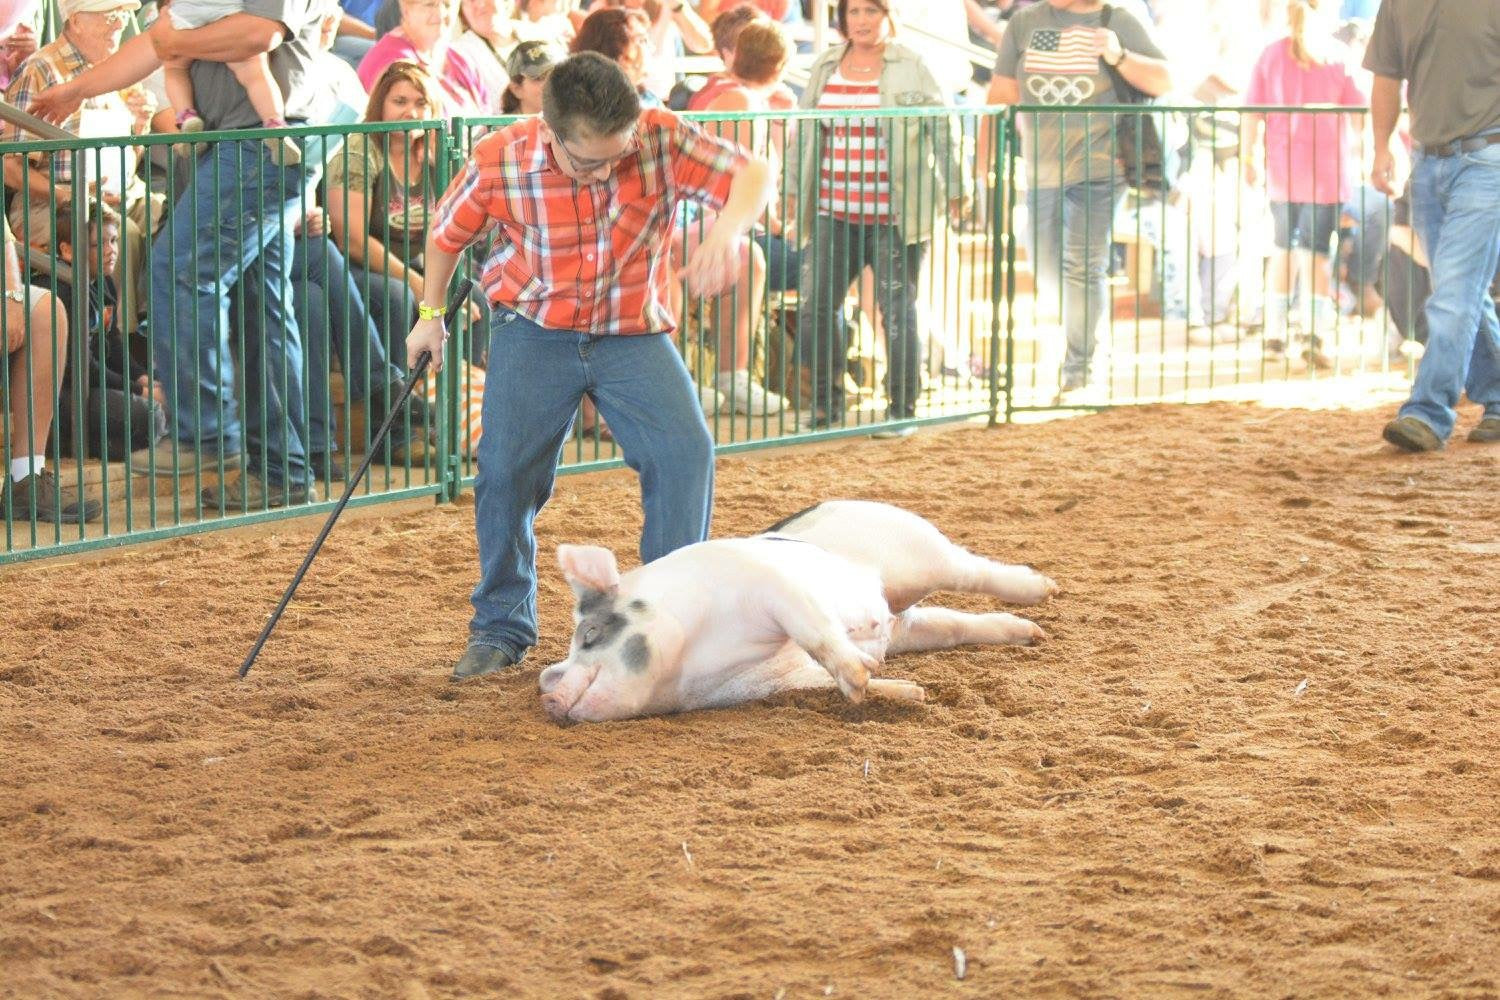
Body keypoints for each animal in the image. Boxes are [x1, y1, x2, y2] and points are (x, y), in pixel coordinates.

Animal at [540, 503, 1056, 722]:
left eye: (589, 634)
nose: (548, 692)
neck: (694, 657)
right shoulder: (770, 679)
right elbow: (817, 678)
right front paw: (906, 692)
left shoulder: (772, 588)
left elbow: (817, 631)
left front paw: (858, 678)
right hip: (908, 623)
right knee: (951, 623)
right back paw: (1032, 634)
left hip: (919, 550)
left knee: (975, 570)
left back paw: (1045, 589)